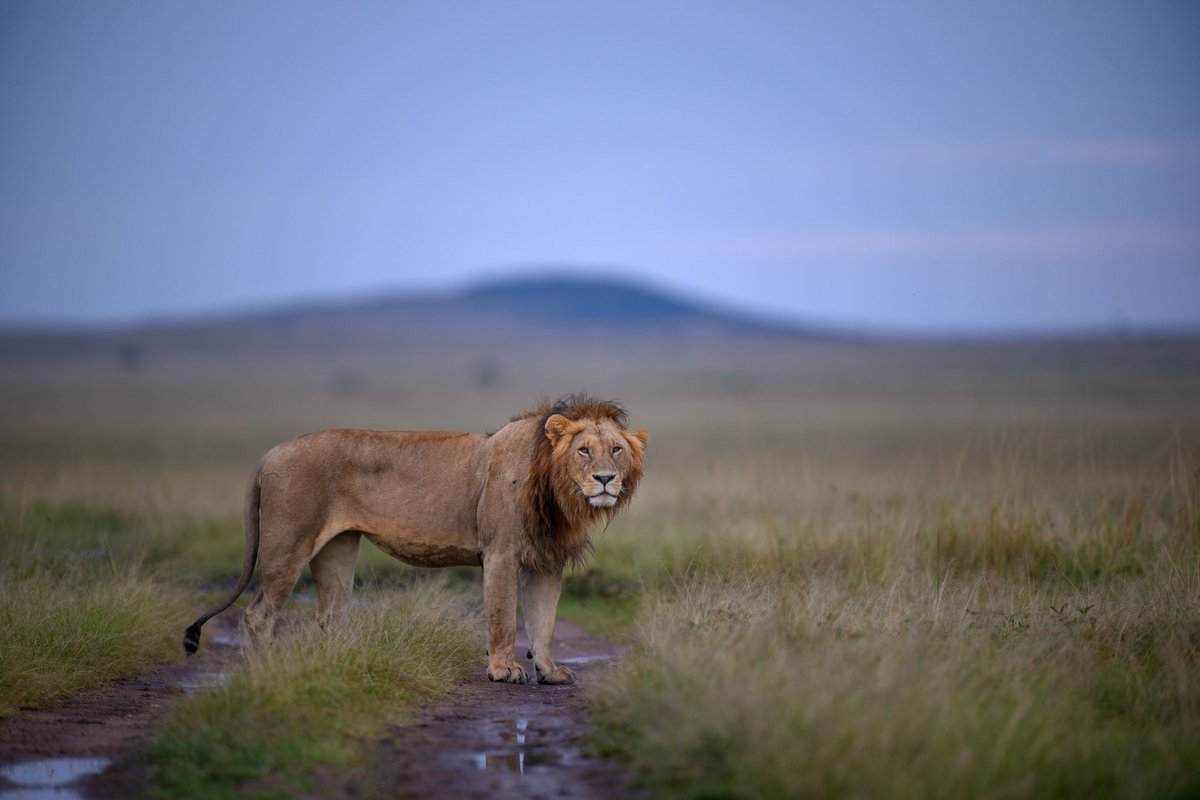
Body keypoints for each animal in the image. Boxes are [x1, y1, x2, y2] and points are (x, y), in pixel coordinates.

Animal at [183, 394, 647, 685]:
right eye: (584, 450)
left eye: (616, 450)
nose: (605, 479)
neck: (557, 492)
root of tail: (270, 453)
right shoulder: (500, 552)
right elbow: (502, 618)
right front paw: (503, 669)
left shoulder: (546, 562)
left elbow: (544, 622)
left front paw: (549, 671)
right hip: (289, 543)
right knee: (257, 613)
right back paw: (266, 669)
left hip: (338, 546)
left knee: (331, 615)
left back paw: (352, 662)